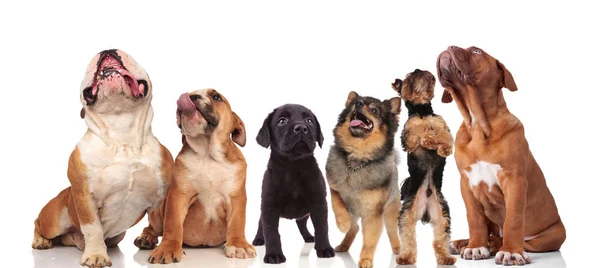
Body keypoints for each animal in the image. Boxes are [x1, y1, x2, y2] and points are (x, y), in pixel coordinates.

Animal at [31, 48, 172, 268]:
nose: (107, 49)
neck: (121, 132)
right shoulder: (85, 196)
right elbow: (93, 228)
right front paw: (96, 255)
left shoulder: (160, 199)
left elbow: (161, 222)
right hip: (53, 219)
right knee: (38, 224)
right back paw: (40, 240)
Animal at [135, 89, 254, 264]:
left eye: (216, 97)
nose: (191, 96)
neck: (207, 154)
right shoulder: (178, 196)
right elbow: (173, 224)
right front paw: (168, 248)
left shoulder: (236, 198)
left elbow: (237, 222)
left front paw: (238, 244)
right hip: (158, 212)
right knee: (151, 227)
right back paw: (146, 239)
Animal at [253, 103, 338, 264]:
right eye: (282, 121)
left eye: (309, 121)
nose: (301, 128)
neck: (293, 166)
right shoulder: (269, 206)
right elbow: (271, 232)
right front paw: (273, 254)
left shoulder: (318, 203)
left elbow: (322, 227)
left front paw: (324, 248)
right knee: (261, 225)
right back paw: (259, 239)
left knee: (301, 224)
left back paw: (309, 237)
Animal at [326, 92, 400, 268]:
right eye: (356, 103)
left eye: (374, 110)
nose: (358, 104)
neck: (357, 161)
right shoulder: (333, 187)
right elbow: (336, 203)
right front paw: (342, 222)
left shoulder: (373, 212)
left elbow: (370, 240)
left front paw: (366, 259)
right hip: (354, 213)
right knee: (355, 228)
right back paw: (344, 244)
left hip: (391, 212)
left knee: (392, 231)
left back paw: (398, 249)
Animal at [392, 68, 452, 264]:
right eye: (409, 76)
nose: (418, 70)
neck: (422, 111)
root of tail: (425, 210)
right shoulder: (408, 136)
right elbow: (419, 131)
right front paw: (430, 140)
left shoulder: (442, 124)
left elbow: (444, 134)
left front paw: (443, 147)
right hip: (406, 215)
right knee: (408, 237)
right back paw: (405, 258)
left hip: (442, 216)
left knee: (440, 239)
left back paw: (446, 258)